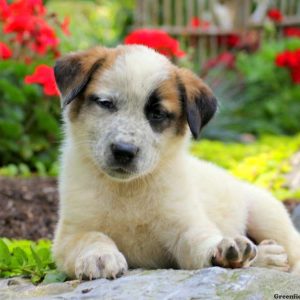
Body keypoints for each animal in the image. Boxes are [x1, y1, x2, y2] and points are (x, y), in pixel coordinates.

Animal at [52, 45, 300, 280]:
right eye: (105, 103)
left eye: (158, 114)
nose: (123, 151)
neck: (128, 190)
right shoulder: (69, 234)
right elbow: (91, 236)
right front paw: (100, 256)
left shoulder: (185, 226)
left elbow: (201, 241)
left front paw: (223, 250)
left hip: (267, 213)